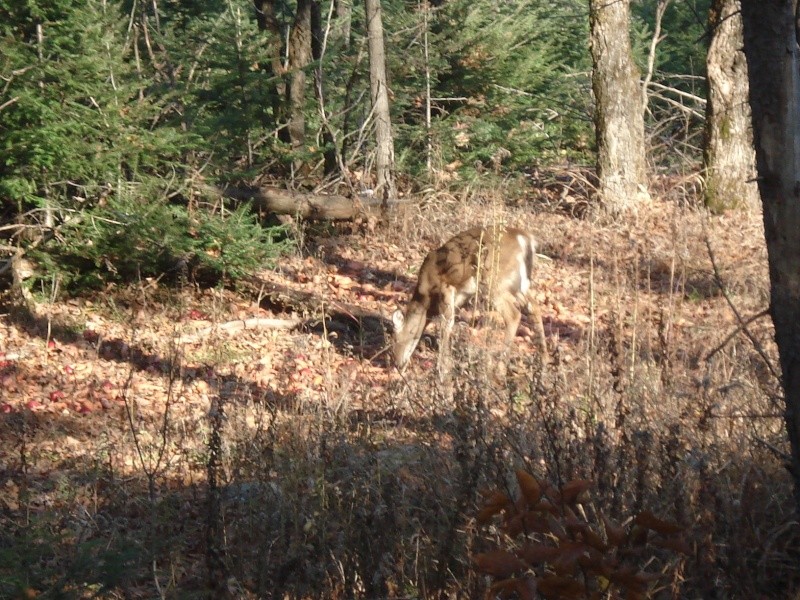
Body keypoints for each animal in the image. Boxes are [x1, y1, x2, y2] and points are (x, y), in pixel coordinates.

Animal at [390, 227, 548, 370]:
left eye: (396, 339)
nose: (398, 364)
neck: (425, 299)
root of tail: (525, 239)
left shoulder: (446, 286)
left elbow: (446, 324)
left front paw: (443, 367)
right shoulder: (462, 294)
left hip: (494, 280)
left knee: (513, 315)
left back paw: (500, 368)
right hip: (518, 284)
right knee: (534, 307)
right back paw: (543, 359)